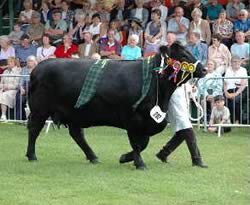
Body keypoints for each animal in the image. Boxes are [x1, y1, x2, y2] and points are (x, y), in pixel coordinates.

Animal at [26, 44, 205, 169]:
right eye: (183, 54)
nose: (204, 69)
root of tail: (37, 68)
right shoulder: (132, 119)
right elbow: (137, 144)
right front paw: (139, 163)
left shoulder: (147, 121)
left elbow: (143, 143)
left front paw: (126, 157)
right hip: (39, 110)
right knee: (34, 130)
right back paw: (31, 155)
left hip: (74, 113)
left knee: (77, 134)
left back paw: (93, 157)